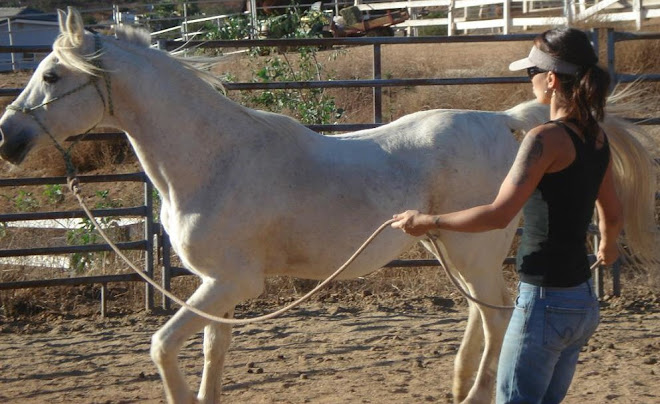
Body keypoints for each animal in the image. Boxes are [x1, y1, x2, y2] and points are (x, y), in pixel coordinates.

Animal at [0, 7, 656, 404]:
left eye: (53, 75)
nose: (8, 139)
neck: (215, 157)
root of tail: (509, 122)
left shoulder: (231, 283)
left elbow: (164, 345)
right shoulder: (218, 286)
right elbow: (213, 351)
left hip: (470, 248)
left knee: (496, 317)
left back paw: (472, 393)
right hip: (454, 248)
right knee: (484, 311)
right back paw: (457, 382)